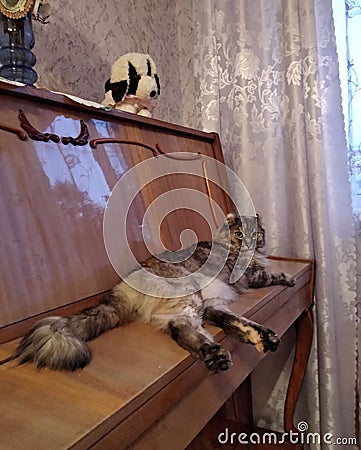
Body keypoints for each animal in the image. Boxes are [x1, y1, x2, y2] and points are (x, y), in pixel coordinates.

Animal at [14, 214, 296, 372]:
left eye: (256, 233)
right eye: (239, 233)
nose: (250, 243)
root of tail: (122, 287)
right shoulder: (253, 276)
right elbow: (272, 274)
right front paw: (289, 278)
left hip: (209, 303)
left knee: (232, 323)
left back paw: (264, 339)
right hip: (190, 299)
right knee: (182, 328)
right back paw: (216, 357)